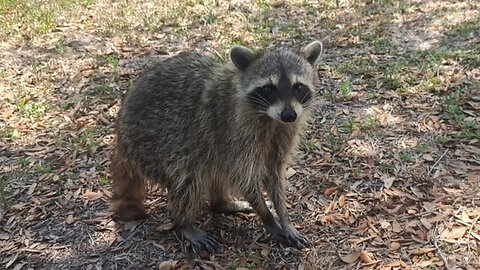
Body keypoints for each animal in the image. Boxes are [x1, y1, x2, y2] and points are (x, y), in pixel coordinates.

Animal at [109, 40, 322, 253]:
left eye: (298, 87)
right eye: (269, 88)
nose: (289, 115)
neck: (269, 118)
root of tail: (120, 139)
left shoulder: (284, 133)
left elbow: (273, 174)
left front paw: (284, 217)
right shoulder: (234, 131)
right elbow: (243, 177)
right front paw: (268, 218)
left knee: (215, 169)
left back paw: (221, 203)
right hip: (151, 142)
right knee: (187, 176)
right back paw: (183, 223)